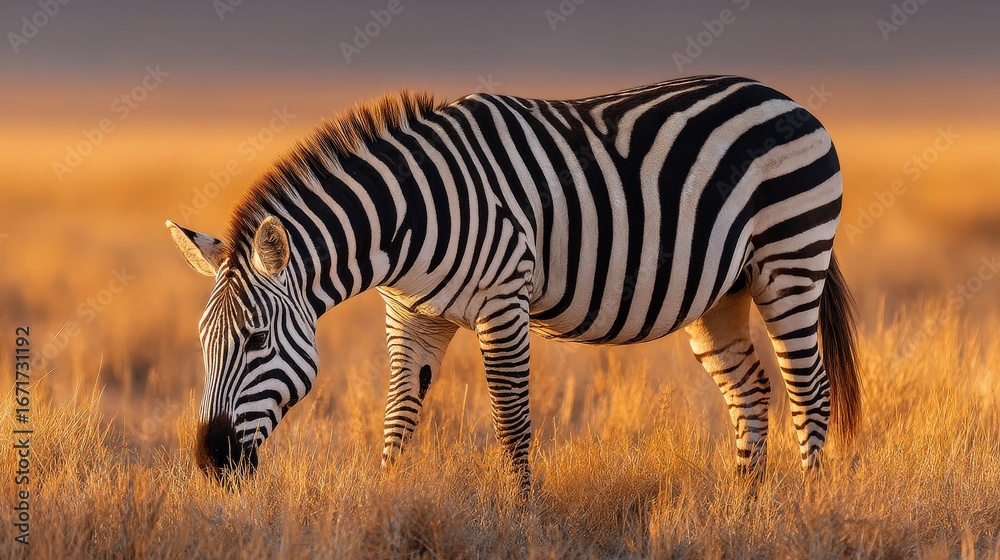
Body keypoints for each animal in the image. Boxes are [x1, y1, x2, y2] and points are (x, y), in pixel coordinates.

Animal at [166, 75, 862, 488]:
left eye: (257, 341)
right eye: (202, 346)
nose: (211, 459)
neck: (409, 218)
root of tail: (782, 96)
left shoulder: (504, 300)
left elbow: (512, 420)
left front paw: (523, 515)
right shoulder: (412, 315)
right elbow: (398, 418)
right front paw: (386, 501)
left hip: (790, 261)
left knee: (810, 390)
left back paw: (802, 510)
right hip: (723, 293)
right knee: (751, 391)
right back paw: (746, 507)